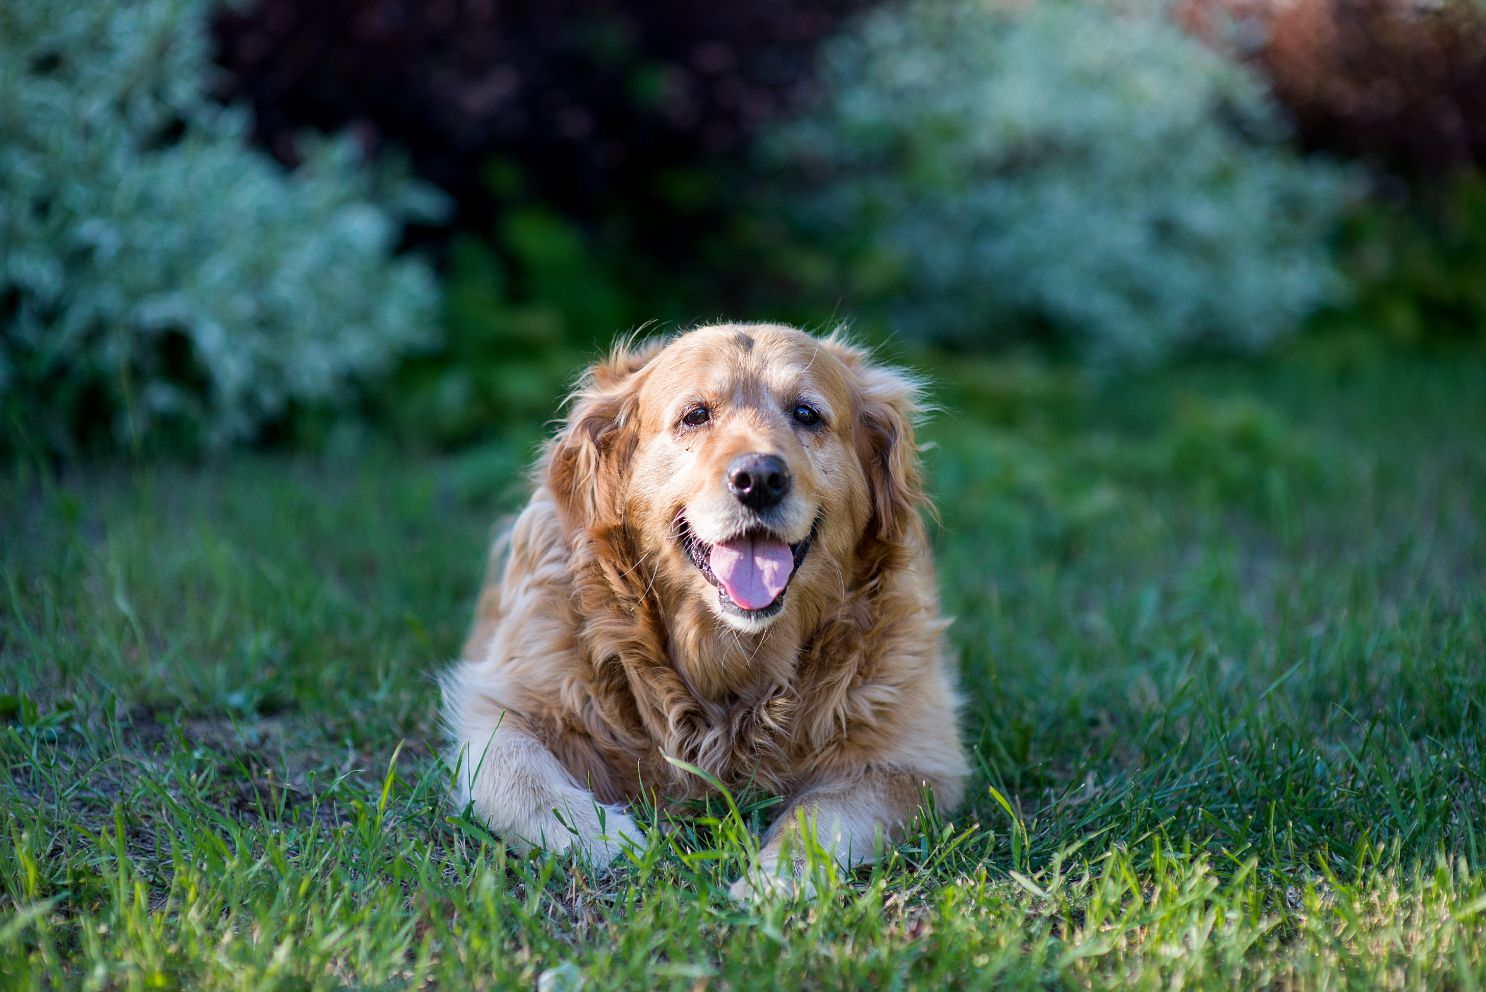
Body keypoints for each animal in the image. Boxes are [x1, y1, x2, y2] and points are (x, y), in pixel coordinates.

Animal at [439, 322, 968, 896]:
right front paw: (608, 839)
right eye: (695, 415)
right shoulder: (503, 701)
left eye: (806, 414)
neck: (730, 661)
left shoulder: (914, 759)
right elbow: (515, 773)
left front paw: (772, 879)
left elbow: (820, 813)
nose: (759, 478)